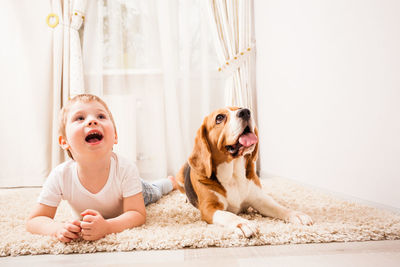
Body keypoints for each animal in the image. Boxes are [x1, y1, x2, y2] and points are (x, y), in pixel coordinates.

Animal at [177, 108, 312, 238]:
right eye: (219, 117)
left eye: (240, 108)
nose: (246, 112)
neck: (233, 175)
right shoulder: (208, 208)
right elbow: (228, 215)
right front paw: (243, 223)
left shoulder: (259, 199)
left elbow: (278, 207)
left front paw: (296, 214)